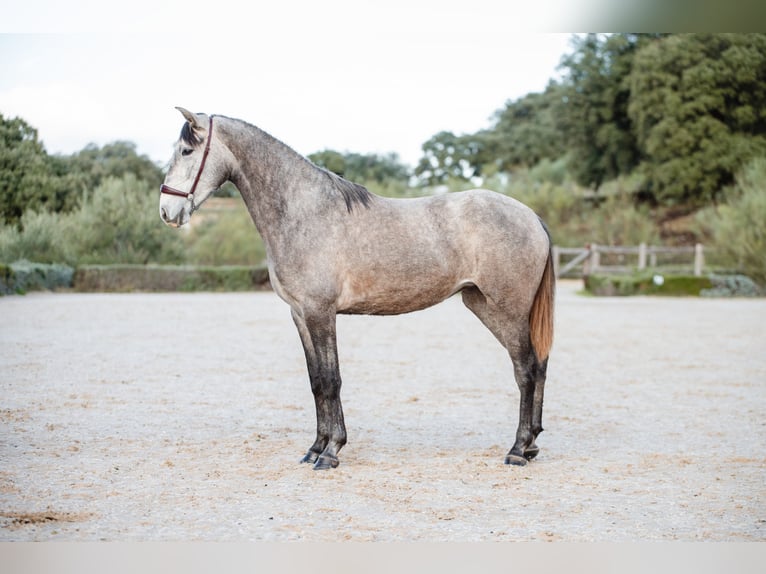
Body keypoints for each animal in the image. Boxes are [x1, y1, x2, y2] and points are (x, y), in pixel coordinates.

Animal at [159, 107, 555, 470]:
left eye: (187, 151)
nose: (166, 211)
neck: (304, 212)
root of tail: (532, 216)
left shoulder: (320, 312)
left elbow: (331, 380)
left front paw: (331, 452)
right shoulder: (300, 314)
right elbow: (316, 381)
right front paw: (315, 448)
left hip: (508, 309)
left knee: (526, 369)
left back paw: (518, 450)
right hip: (484, 305)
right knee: (537, 366)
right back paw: (532, 444)